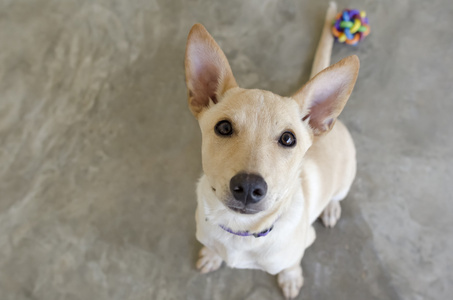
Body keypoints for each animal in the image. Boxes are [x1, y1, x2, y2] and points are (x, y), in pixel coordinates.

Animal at [183, 1, 356, 298]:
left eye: (288, 139)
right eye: (224, 127)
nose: (249, 187)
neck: (240, 231)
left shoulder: (301, 245)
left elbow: (292, 264)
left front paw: (290, 278)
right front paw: (213, 255)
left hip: (346, 178)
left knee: (337, 195)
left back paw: (331, 209)